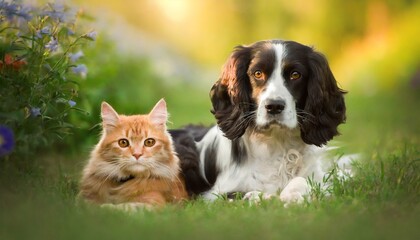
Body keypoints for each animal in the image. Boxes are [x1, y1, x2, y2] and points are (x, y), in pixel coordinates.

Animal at [171, 39, 348, 204]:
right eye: (257, 73)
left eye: (295, 74)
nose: (274, 106)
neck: (278, 143)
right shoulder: (215, 194)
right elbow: (249, 194)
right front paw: (266, 197)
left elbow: (304, 180)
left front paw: (293, 194)